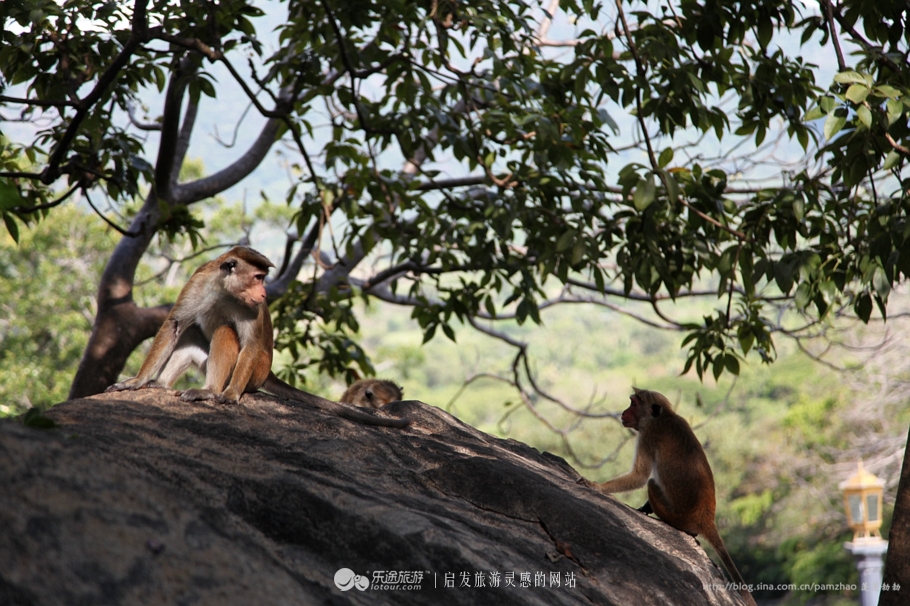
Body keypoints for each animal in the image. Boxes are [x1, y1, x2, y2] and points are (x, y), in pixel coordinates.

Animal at [104, 248, 414, 432]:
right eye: (257, 277)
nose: (264, 293)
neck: (225, 290)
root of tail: (269, 372)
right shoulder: (198, 280)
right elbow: (175, 325)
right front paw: (137, 381)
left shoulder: (250, 310)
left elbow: (250, 343)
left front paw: (230, 395)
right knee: (193, 331)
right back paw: (162, 384)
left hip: (256, 371)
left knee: (225, 332)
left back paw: (210, 390)